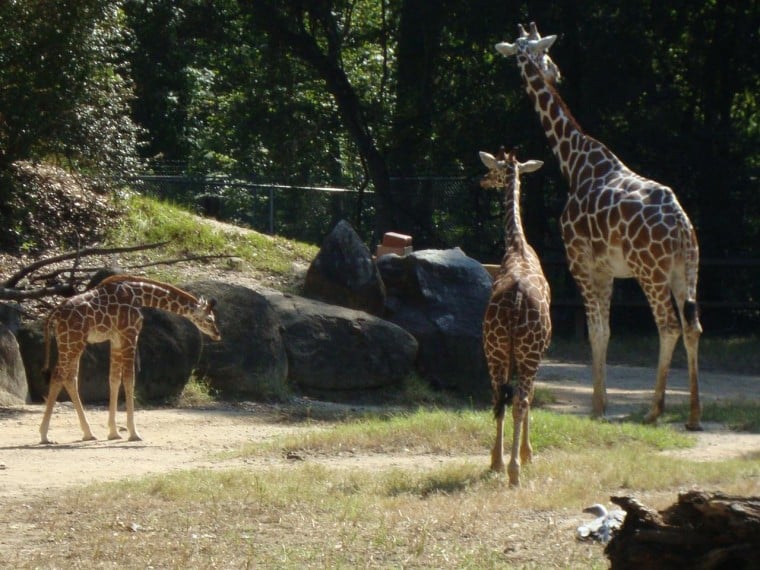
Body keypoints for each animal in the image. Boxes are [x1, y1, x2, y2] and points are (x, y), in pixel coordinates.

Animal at [496, 24, 704, 428]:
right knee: (692, 326)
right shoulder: (606, 269)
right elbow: (604, 331)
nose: (556, 72)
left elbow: (595, 331)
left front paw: (597, 405)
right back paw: (692, 415)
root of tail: (681, 227)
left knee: (669, 325)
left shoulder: (581, 262)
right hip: (685, 270)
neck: (575, 162)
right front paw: (602, 401)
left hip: (650, 272)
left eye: (544, 52)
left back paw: (654, 410)